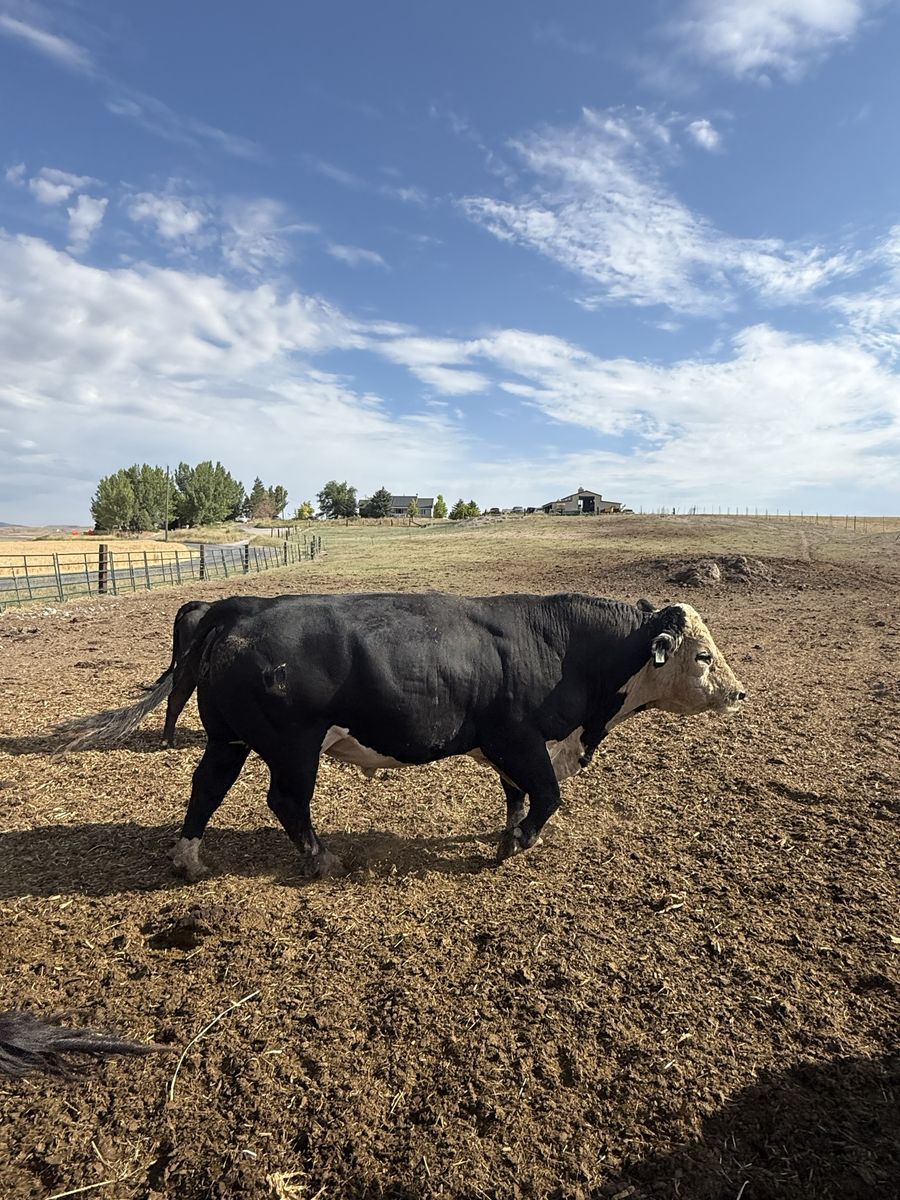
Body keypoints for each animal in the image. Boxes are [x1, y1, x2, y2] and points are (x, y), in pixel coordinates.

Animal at [55, 591, 745, 880]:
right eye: (704, 655)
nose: (738, 693)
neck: (559, 645)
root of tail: (236, 608)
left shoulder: (509, 748)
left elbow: (518, 793)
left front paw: (508, 832)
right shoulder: (519, 738)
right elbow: (546, 796)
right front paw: (517, 843)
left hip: (227, 738)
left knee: (207, 787)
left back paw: (190, 859)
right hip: (294, 746)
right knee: (286, 801)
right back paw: (321, 859)